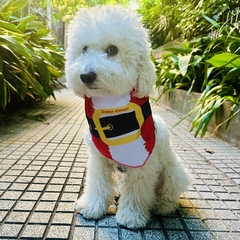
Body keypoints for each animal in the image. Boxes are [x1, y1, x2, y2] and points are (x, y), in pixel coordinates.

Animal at [65, 4, 189, 229]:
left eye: (113, 50)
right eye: (84, 49)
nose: (86, 76)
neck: (114, 113)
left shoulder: (145, 166)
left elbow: (136, 193)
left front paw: (131, 216)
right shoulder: (98, 158)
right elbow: (97, 182)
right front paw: (92, 206)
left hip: (174, 172)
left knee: (169, 195)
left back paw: (161, 205)